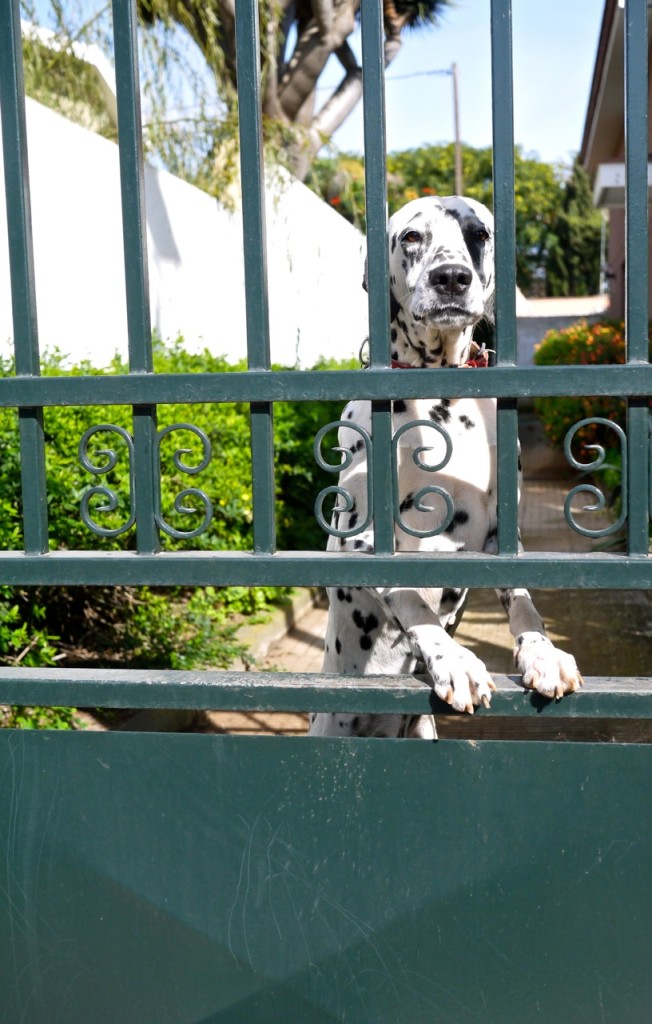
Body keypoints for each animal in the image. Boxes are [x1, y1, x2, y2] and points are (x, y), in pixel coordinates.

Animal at [307, 193, 581, 737]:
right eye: (412, 236)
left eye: (479, 233)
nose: (451, 276)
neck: (440, 393)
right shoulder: (361, 539)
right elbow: (410, 596)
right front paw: (452, 657)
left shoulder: (501, 537)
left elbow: (524, 603)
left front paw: (543, 652)